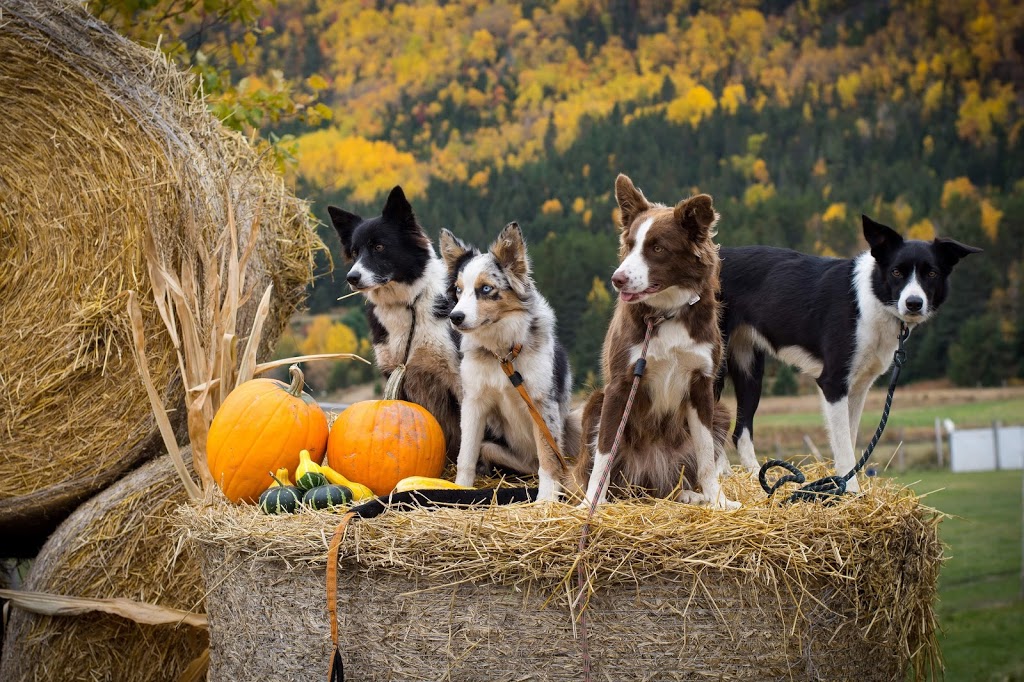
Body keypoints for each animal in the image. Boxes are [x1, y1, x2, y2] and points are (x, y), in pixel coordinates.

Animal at [440, 223, 581, 499]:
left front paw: (545, 500)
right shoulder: (474, 401)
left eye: (485, 289)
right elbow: (466, 455)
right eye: (458, 290)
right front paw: (459, 490)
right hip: (495, 448)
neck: (503, 353)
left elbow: (549, 458)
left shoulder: (541, 403)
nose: (455, 317)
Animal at [716, 215, 978, 485]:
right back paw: (721, 475)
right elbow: (843, 448)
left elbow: (850, 441)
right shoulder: (833, 383)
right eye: (896, 272)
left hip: (750, 371)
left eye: (931, 273)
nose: (913, 303)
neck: (870, 300)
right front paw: (849, 489)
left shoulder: (858, 388)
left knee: (739, 431)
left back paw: (752, 477)